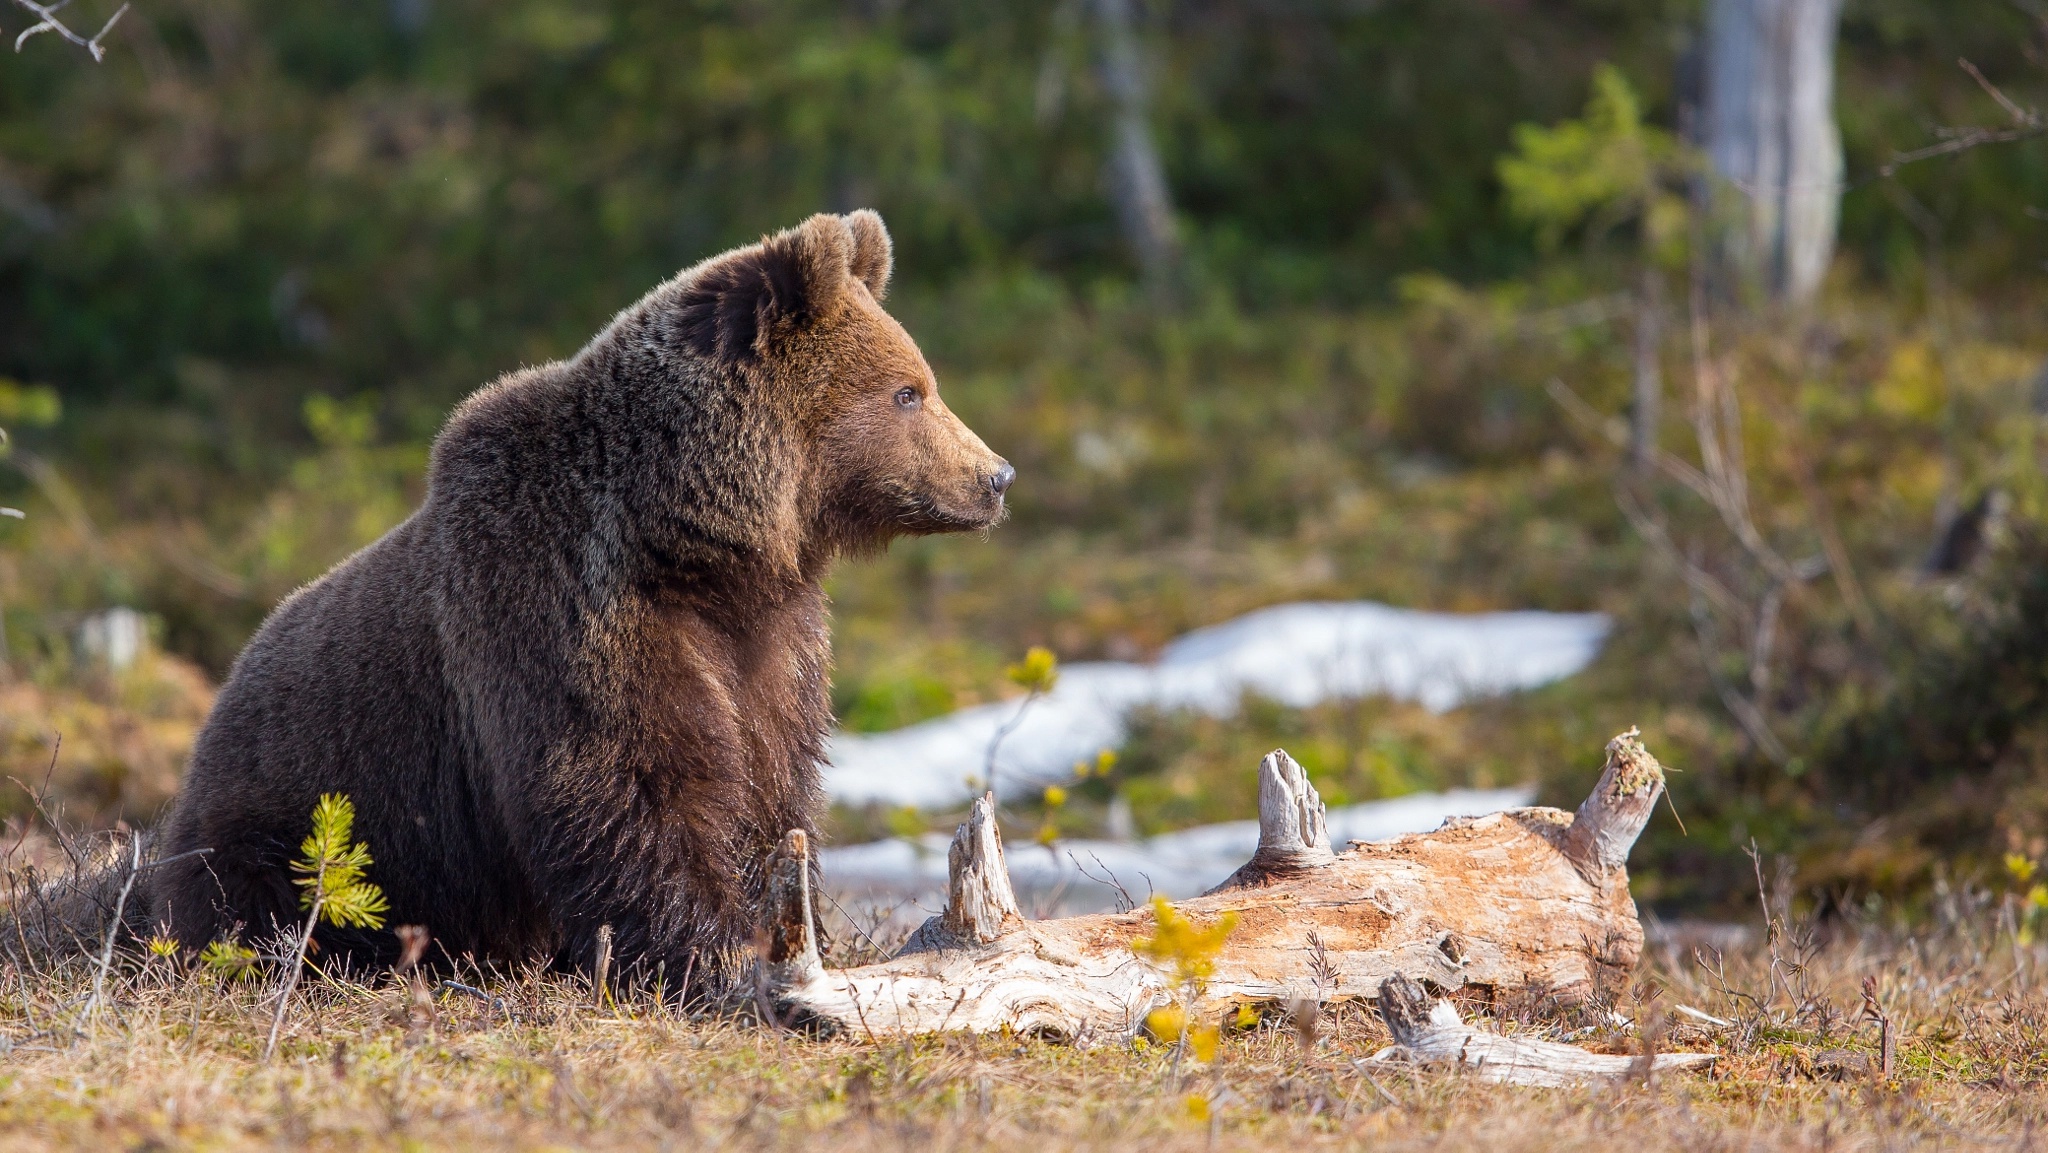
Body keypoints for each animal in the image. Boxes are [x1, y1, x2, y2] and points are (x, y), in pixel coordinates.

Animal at [148, 211, 1011, 987]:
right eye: (908, 392)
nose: (996, 475)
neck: (692, 542)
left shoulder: (771, 636)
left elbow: (775, 779)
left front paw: (791, 930)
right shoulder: (566, 611)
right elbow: (628, 783)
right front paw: (709, 950)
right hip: (292, 828)